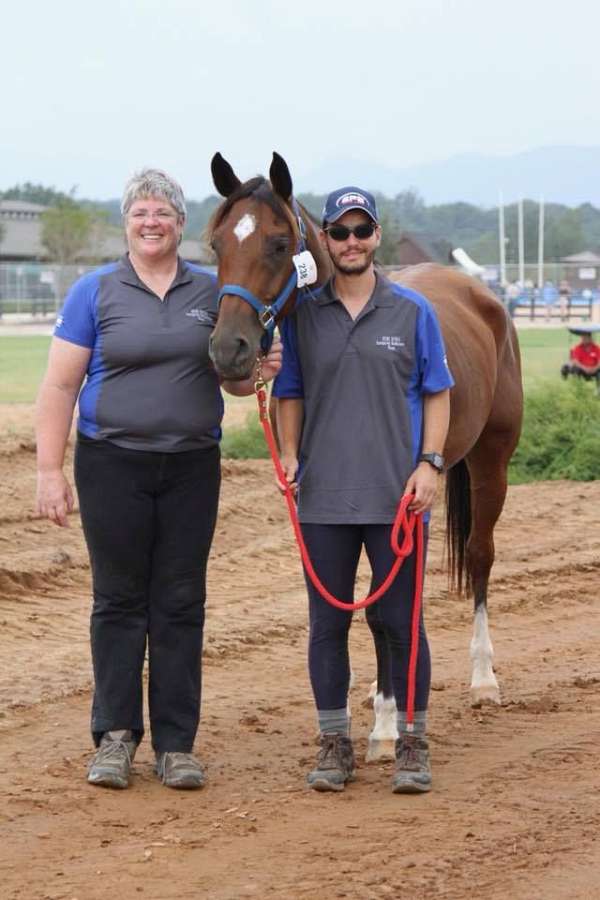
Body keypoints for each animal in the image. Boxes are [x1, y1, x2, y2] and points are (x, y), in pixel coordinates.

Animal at [209, 153, 524, 760]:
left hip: (488, 463)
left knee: (478, 556)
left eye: (279, 243)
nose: (228, 350)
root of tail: (482, 296)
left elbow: (381, 608)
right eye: (216, 244)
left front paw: (383, 721)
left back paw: (483, 679)